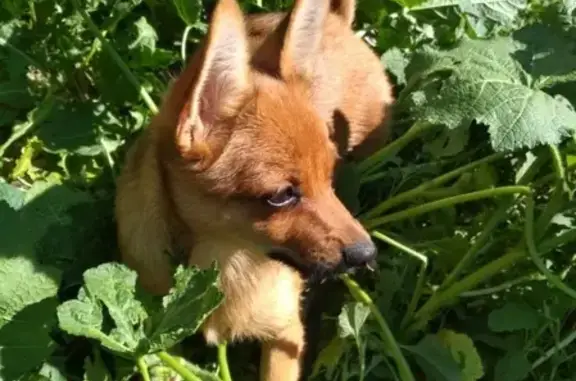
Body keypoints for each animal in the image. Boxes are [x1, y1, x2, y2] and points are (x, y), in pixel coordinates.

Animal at [116, 0, 396, 378]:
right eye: (280, 196)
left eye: (330, 176)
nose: (367, 254)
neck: (227, 260)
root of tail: (337, 20)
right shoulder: (157, 337)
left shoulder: (285, 335)